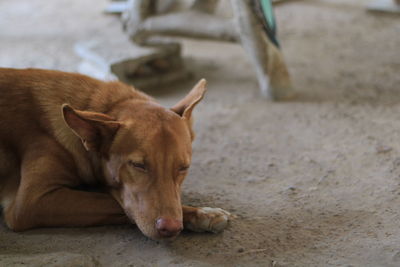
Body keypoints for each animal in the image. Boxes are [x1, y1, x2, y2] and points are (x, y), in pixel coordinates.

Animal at [0, 68, 230, 240]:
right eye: (138, 165)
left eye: (183, 168)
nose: (171, 228)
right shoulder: (30, 203)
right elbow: (110, 201)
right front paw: (198, 212)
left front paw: (202, 213)